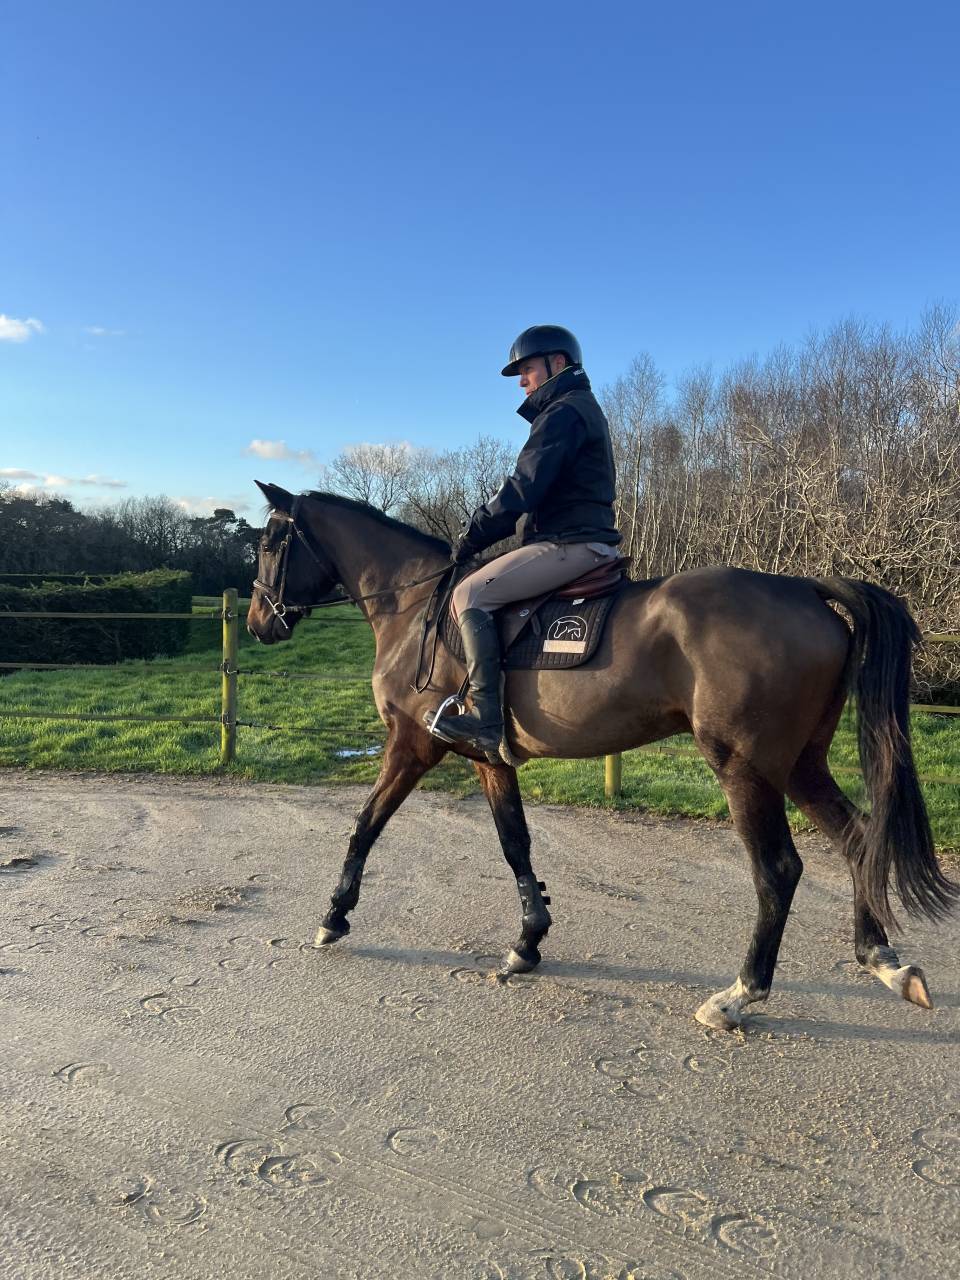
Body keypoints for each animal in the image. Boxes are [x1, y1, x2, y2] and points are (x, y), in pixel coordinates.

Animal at [247, 481, 956, 1030]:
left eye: (269, 542)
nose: (258, 623)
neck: (414, 604)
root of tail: (806, 589)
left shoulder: (411, 745)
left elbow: (365, 825)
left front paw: (333, 917)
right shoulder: (488, 757)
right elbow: (515, 842)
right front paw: (527, 942)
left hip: (746, 769)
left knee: (778, 870)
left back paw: (739, 996)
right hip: (801, 764)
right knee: (859, 837)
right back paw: (885, 963)